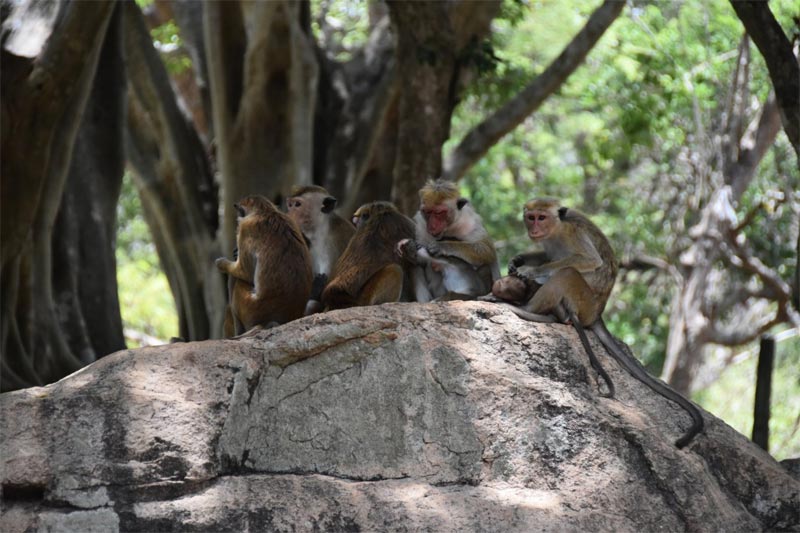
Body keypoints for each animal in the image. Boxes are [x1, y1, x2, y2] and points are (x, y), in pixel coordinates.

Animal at [214, 195, 310, 334]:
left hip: (249, 308)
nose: (237, 217)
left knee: (236, 279)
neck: (266, 211)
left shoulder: (245, 228)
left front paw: (221, 263)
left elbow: (244, 273)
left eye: (240, 210)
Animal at [484, 197, 704, 446]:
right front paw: (519, 259)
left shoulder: (573, 234)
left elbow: (588, 260)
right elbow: (547, 255)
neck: (557, 228)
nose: (534, 228)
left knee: (567, 272)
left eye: (541, 217)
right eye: (531, 217)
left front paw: (532, 270)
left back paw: (526, 309)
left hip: (583, 300)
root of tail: (597, 313)